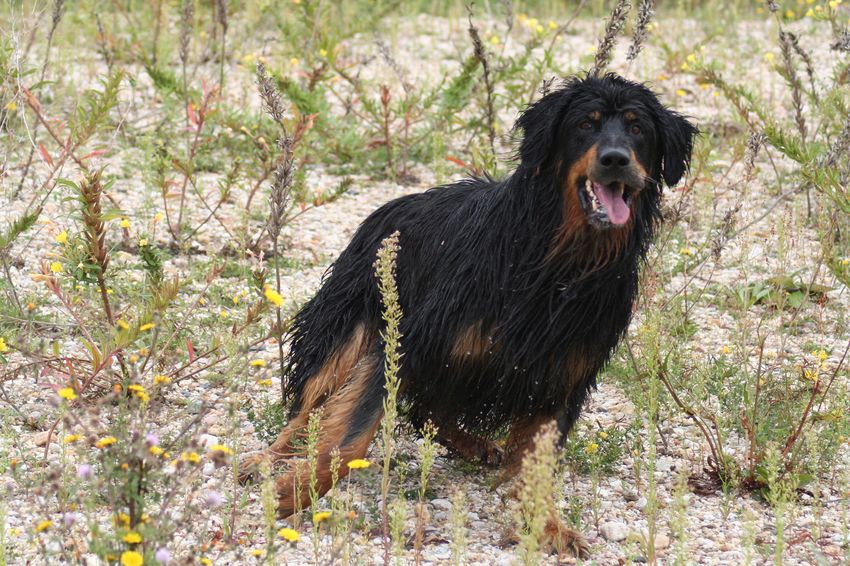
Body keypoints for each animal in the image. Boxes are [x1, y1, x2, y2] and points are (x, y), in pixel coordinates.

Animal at [240, 73, 697, 557]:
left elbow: (537, 466)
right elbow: (351, 435)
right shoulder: (409, 343)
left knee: (427, 412)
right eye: (585, 125)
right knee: (309, 412)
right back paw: (267, 461)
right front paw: (296, 491)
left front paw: (546, 525)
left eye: (637, 128)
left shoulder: (559, 375)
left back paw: (475, 444)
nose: (615, 160)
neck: (558, 260)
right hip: (348, 327)